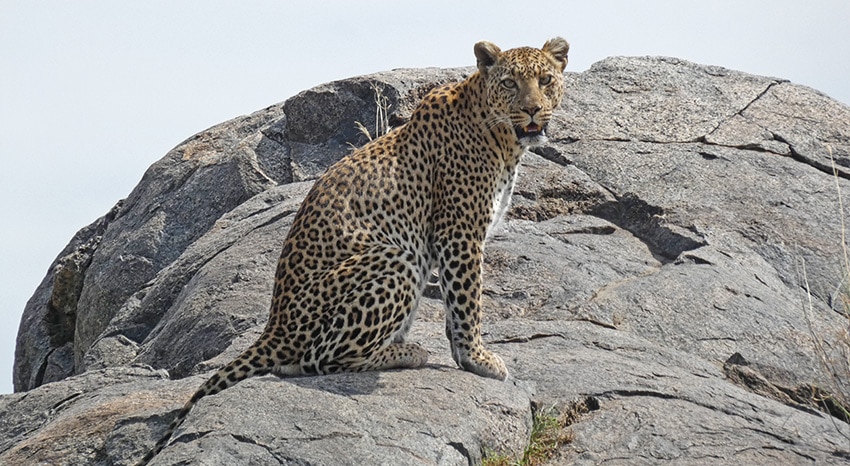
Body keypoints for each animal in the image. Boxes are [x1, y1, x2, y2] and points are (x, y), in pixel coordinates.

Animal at [138, 36, 568, 465]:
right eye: (510, 83)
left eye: (545, 80)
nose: (533, 108)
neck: (504, 141)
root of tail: (274, 328)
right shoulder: (458, 232)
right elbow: (467, 301)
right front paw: (477, 358)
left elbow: (456, 302)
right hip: (398, 259)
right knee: (318, 358)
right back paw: (406, 352)